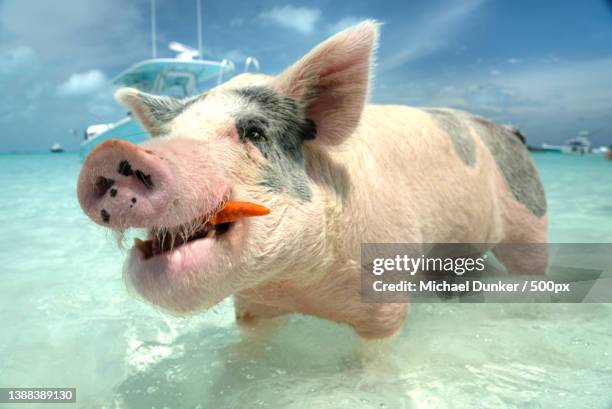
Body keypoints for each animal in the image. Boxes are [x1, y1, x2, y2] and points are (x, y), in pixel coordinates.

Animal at [74, 21, 548, 342]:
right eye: (169, 133)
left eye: (254, 132)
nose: (109, 152)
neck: (299, 285)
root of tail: (511, 131)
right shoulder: (254, 308)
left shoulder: (385, 300)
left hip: (529, 220)